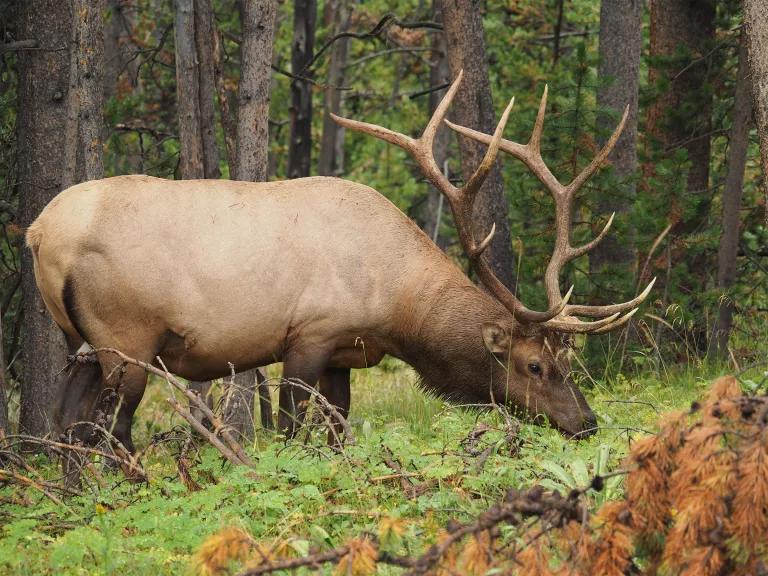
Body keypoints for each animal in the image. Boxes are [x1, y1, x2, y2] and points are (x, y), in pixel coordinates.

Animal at [27, 72, 652, 450]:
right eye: (535, 366)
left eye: (564, 360)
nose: (587, 422)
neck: (396, 306)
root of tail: (39, 234)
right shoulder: (309, 333)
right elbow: (287, 429)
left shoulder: (346, 352)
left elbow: (337, 430)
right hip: (126, 337)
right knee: (111, 427)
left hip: (80, 341)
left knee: (65, 420)